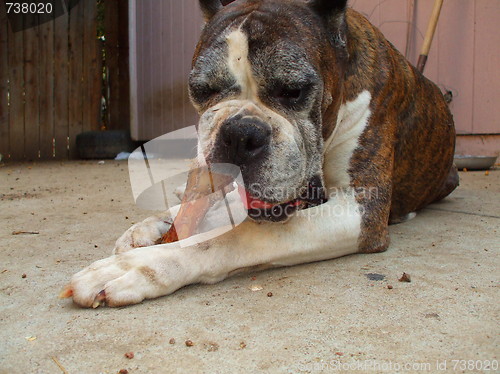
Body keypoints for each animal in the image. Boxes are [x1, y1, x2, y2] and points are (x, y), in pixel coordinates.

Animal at [64, 0, 458, 308]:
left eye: (294, 90)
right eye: (202, 90)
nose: (239, 135)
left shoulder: (361, 209)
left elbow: (235, 237)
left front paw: (137, 267)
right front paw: (154, 229)